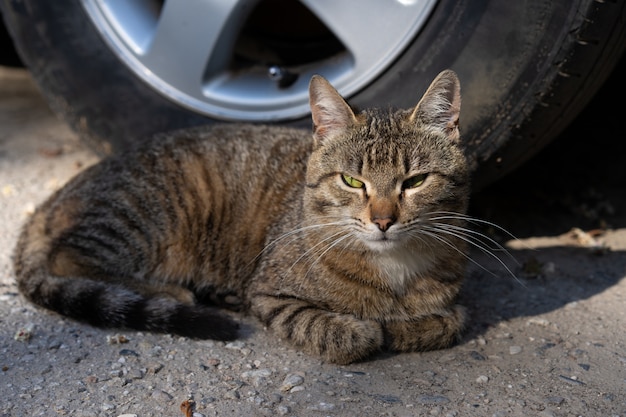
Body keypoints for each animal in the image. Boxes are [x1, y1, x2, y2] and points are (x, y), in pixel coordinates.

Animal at [13, 70, 468, 362]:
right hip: (142, 215)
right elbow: (339, 332)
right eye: (352, 181)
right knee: (66, 257)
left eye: (415, 181)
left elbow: (449, 322)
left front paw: (406, 326)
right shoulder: (269, 294)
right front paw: (366, 329)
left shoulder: (455, 302)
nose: (383, 220)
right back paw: (171, 292)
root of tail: (59, 193)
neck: (394, 268)